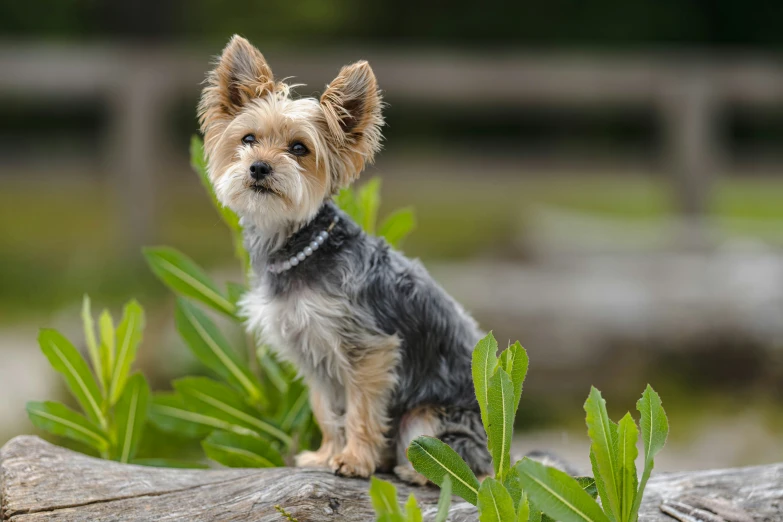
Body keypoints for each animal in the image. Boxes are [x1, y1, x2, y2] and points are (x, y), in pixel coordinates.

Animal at [198, 33, 490, 480]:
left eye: (299, 148)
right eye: (247, 139)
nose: (259, 167)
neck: (300, 247)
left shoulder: (369, 350)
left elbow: (361, 410)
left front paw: (353, 460)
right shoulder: (312, 356)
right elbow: (326, 411)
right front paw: (325, 455)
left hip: (430, 418)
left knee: (456, 463)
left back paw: (413, 470)